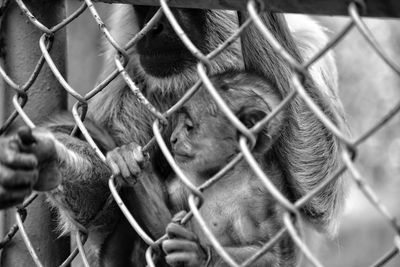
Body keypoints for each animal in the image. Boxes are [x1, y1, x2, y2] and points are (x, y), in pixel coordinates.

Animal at [161, 71, 292, 267]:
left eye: (189, 126)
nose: (173, 139)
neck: (226, 175)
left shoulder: (263, 194)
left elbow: (272, 255)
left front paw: (196, 255)